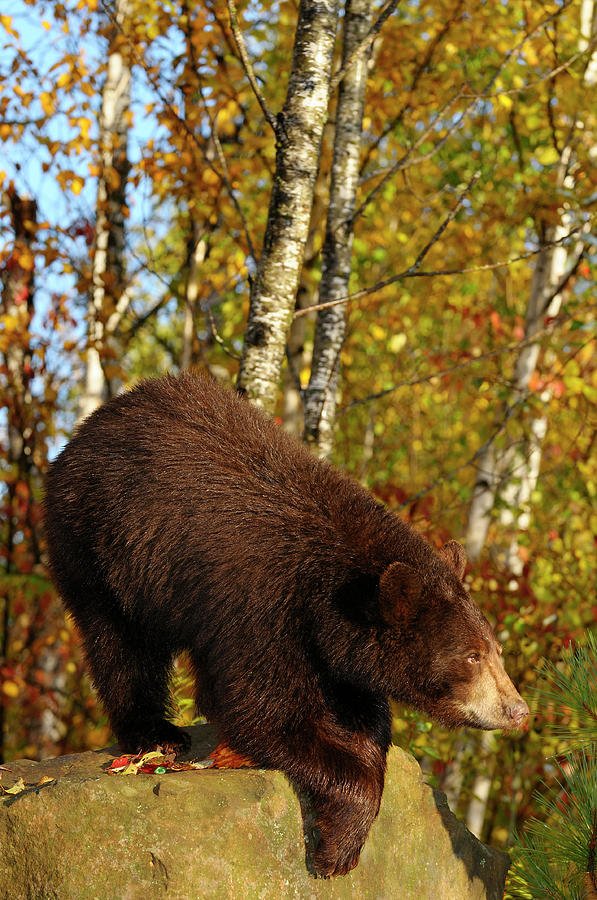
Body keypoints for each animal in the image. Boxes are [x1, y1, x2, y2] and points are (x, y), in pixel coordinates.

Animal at [43, 374, 528, 880]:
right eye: (471, 655)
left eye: (495, 649)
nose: (518, 710)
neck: (327, 591)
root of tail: (92, 425)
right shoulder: (260, 605)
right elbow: (266, 710)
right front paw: (338, 846)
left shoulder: (332, 642)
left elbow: (361, 711)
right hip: (99, 548)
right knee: (119, 643)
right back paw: (155, 731)